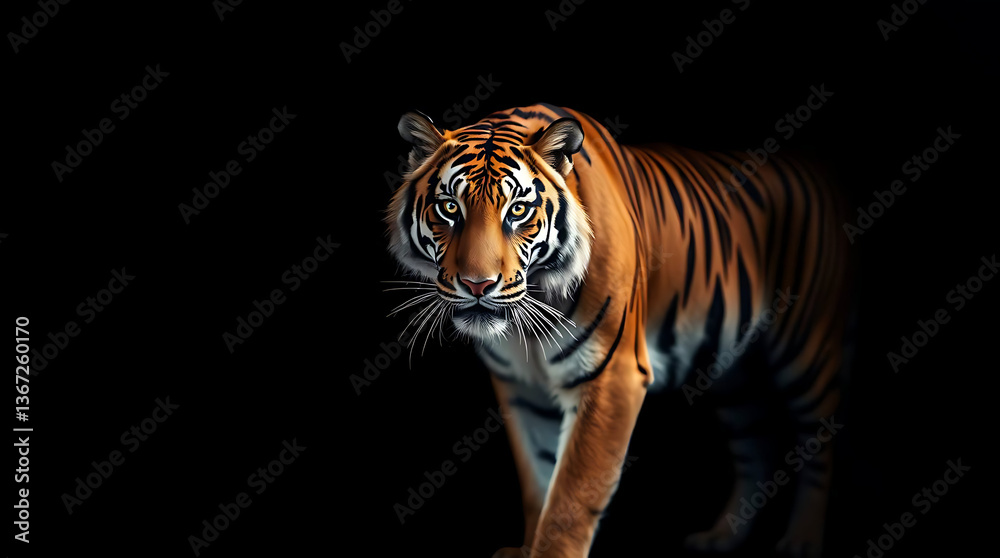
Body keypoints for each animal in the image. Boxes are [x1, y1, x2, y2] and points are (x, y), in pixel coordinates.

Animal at [385, 103, 853, 558]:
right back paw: (722, 537)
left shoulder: (612, 375)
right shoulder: (521, 390)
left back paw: (803, 541)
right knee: (757, 443)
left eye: (518, 211)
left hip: (804, 350)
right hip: (735, 376)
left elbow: (571, 495)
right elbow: (539, 481)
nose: (478, 285)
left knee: (819, 441)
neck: (527, 323)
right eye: (450, 207)